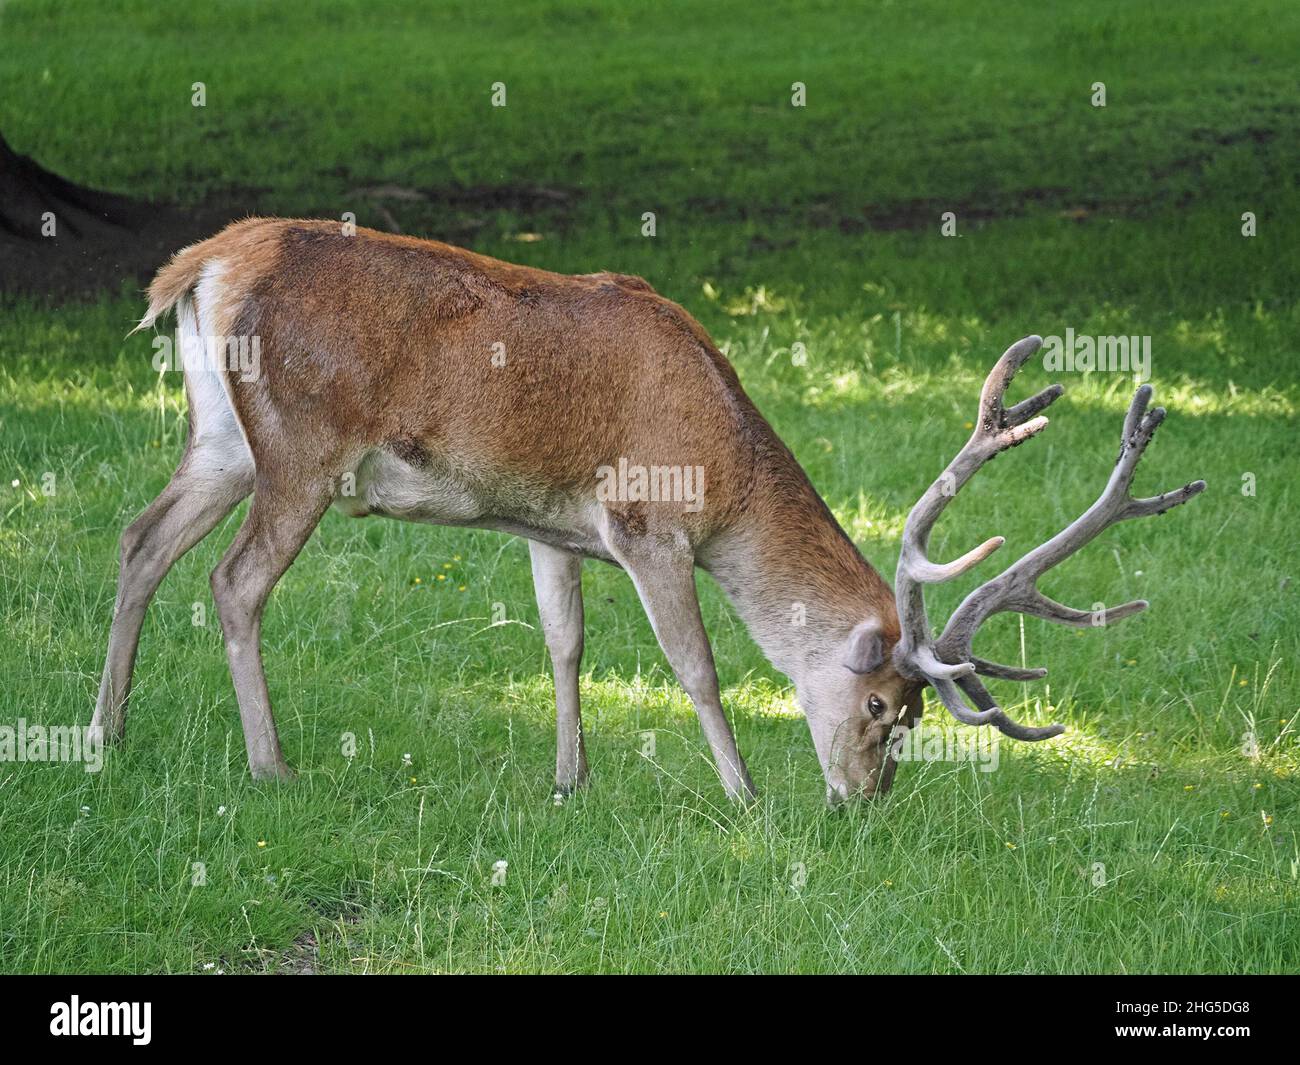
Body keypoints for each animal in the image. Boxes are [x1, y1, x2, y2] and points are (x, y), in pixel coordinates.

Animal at [92, 218, 1205, 802]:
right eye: (885, 707)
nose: (864, 800)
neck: (726, 463)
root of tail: (205, 264)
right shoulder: (648, 522)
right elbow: (697, 664)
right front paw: (744, 794)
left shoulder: (546, 525)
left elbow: (564, 641)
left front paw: (568, 780)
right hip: (301, 449)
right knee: (233, 581)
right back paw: (270, 764)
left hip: (223, 440)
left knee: (140, 537)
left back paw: (106, 733)